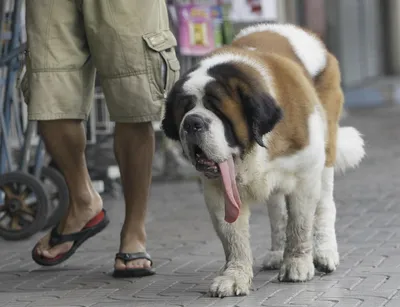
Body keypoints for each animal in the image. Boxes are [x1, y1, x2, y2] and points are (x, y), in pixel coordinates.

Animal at [160, 24, 366, 298]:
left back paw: (324, 252)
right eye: (184, 109)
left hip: (326, 152)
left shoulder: (305, 176)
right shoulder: (218, 190)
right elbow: (233, 237)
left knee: (324, 205)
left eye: (218, 111)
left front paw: (298, 264)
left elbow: (300, 224)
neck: (251, 150)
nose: (193, 122)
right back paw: (277, 253)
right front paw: (234, 276)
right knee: (278, 213)